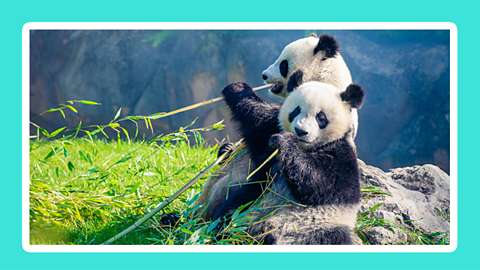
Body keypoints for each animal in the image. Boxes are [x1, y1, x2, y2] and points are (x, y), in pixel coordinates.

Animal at [196, 33, 356, 220]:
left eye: (283, 64)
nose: (264, 75)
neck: (327, 80)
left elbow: (262, 123)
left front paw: (237, 88)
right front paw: (226, 148)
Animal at [214, 76, 364, 245]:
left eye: (320, 117)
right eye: (296, 110)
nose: (300, 131)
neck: (306, 148)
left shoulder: (342, 157)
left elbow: (320, 183)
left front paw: (285, 141)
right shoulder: (271, 137)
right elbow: (259, 122)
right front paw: (238, 88)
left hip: (321, 226)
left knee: (335, 237)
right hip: (252, 202)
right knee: (230, 212)